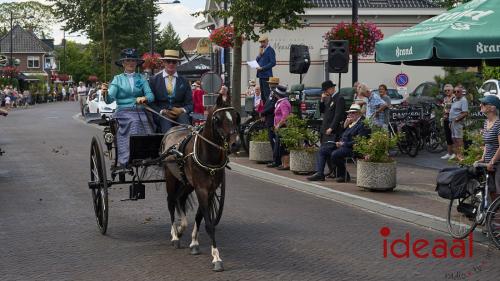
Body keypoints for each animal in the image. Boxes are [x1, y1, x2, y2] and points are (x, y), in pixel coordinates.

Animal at [159, 103, 239, 272]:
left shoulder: (210, 190)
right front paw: (216, 258)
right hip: (171, 178)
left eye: (236, 117)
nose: (236, 144)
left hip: (186, 183)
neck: (207, 153)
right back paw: (174, 236)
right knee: (171, 202)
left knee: (180, 199)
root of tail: (170, 131)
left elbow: (199, 216)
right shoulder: (201, 189)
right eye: (217, 119)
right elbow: (209, 223)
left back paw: (180, 228)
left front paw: (194, 242)